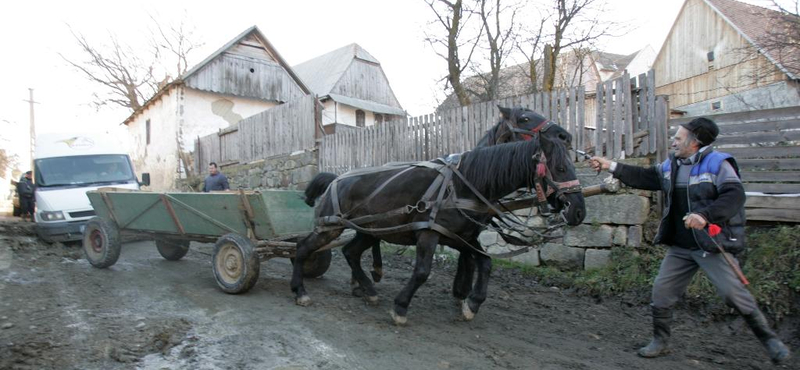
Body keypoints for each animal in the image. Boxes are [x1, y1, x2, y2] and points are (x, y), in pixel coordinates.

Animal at [290, 123, 584, 324]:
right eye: (560, 168)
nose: (579, 211)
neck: (464, 184)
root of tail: (336, 179)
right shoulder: (429, 234)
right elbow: (422, 271)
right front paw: (401, 307)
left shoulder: (462, 237)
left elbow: (486, 262)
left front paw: (471, 303)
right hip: (330, 226)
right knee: (303, 250)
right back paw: (300, 290)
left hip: (371, 231)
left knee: (350, 252)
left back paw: (368, 290)